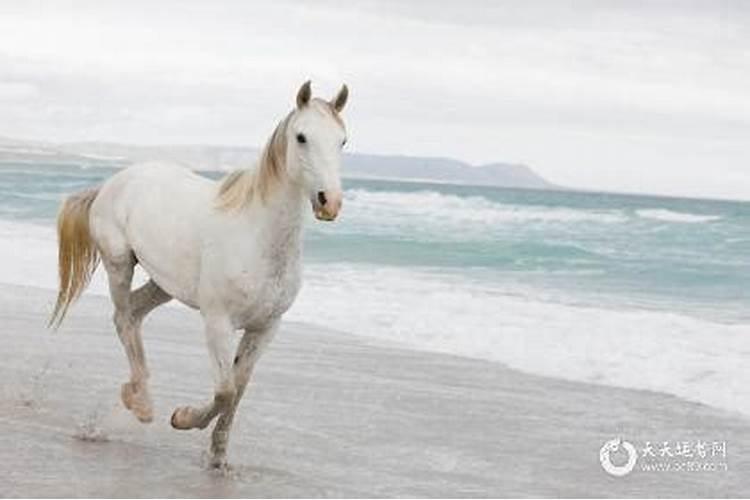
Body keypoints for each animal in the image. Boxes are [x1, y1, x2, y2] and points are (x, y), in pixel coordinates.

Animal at [50, 80, 350, 466]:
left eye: (342, 141)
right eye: (301, 137)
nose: (330, 202)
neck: (257, 236)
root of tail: (113, 183)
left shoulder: (265, 328)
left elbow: (239, 389)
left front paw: (218, 457)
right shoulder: (218, 322)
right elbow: (225, 391)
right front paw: (182, 418)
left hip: (164, 284)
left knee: (133, 313)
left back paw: (135, 397)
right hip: (119, 264)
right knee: (123, 319)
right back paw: (142, 404)